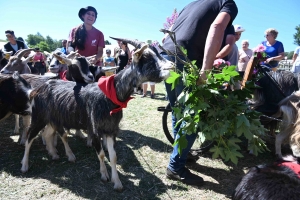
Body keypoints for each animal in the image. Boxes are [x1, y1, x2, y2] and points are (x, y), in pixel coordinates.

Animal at [20, 37, 173, 191]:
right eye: (146, 57)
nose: (172, 65)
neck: (108, 96)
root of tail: (37, 89)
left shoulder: (111, 130)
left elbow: (113, 156)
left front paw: (117, 183)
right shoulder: (94, 129)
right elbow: (101, 154)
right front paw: (104, 175)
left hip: (53, 119)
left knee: (47, 134)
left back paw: (54, 154)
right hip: (39, 117)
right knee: (30, 137)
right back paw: (24, 165)